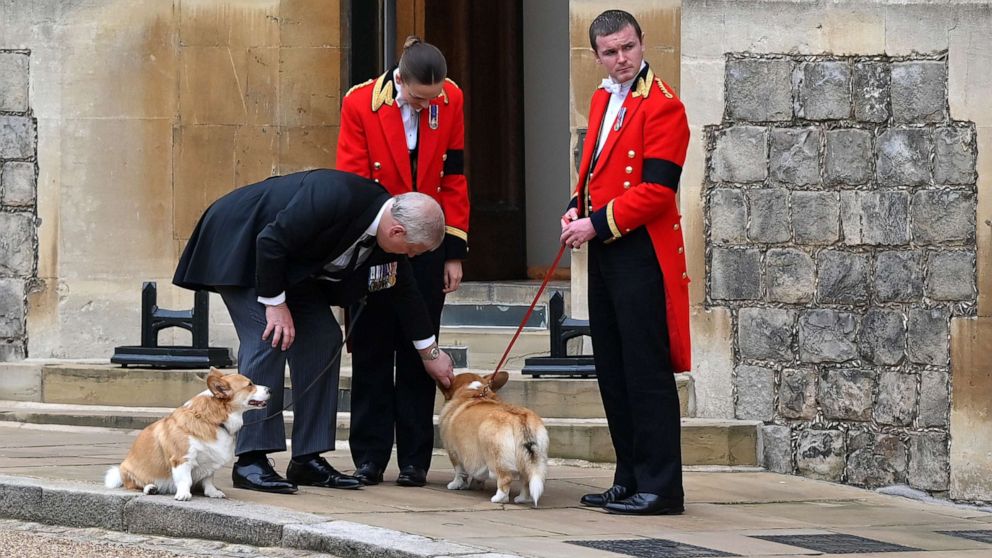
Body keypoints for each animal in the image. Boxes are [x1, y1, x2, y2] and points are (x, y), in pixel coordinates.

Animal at [104, 368, 270, 504]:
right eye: (249, 385)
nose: (270, 389)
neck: (213, 419)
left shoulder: (210, 461)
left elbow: (208, 479)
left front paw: (212, 492)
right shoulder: (182, 459)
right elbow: (185, 479)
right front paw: (183, 494)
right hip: (127, 470)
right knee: (134, 485)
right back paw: (150, 488)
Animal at [442, 372, 552, 508]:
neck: (474, 392)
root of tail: (520, 419)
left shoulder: (454, 453)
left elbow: (459, 472)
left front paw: (455, 485)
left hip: (496, 458)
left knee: (505, 479)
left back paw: (498, 498)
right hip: (531, 460)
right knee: (527, 481)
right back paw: (521, 499)